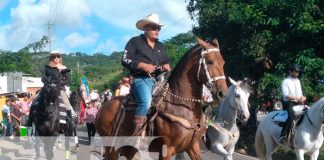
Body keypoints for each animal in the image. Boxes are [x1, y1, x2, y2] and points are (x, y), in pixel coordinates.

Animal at [94, 37, 228, 159]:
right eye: (209, 61)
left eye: (223, 62)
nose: (222, 93)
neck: (180, 104)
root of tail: (102, 107)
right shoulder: (167, 150)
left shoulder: (192, 146)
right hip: (112, 148)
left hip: (129, 148)